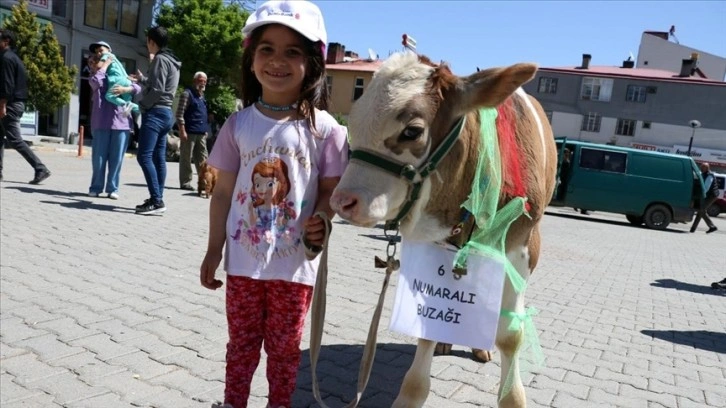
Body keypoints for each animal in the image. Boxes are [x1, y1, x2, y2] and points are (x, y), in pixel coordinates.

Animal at [332, 51, 560, 408]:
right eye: (353, 122)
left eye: (412, 131)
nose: (343, 200)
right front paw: (409, 395)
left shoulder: (523, 247)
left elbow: (510, 336)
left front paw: (512, 396)